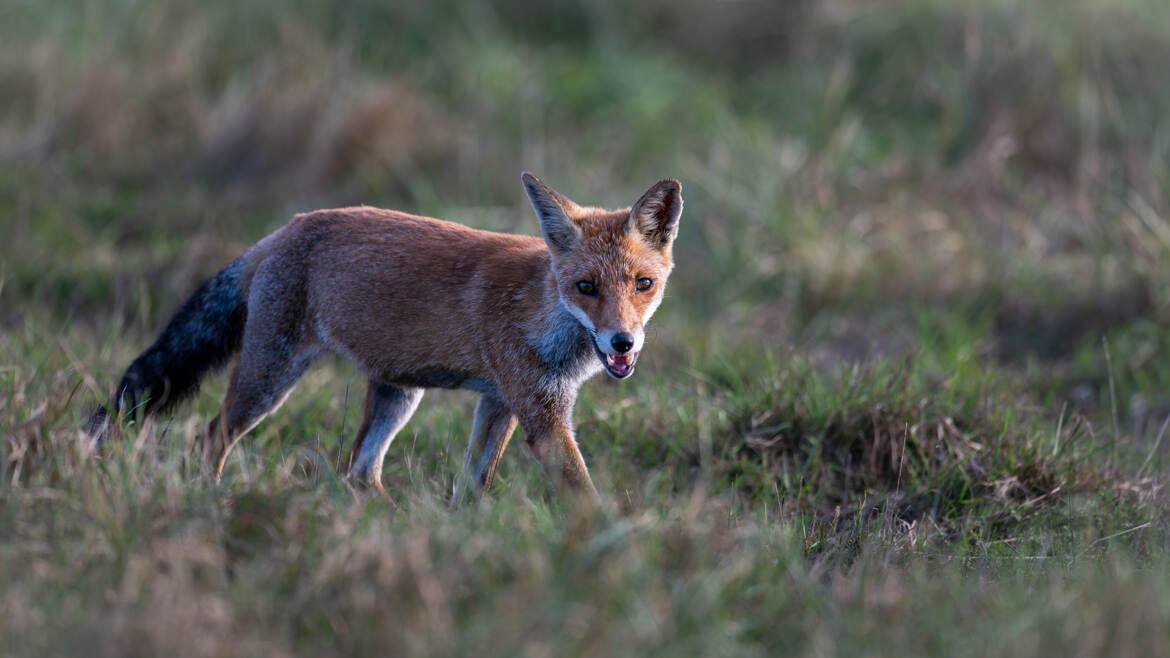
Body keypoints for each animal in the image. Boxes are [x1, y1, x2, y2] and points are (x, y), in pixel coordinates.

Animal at [86, 172, 683, 498]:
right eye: (586, 287)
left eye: (643, 285)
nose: (622, 343)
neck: (541, 313)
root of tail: (286, 228)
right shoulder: (540, 414)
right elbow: (585, 498)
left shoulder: (502, 403)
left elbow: (472, 487)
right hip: (270, 379)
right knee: (211, 438)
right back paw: (212, 500)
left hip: (398, 394)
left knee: (359, 472)